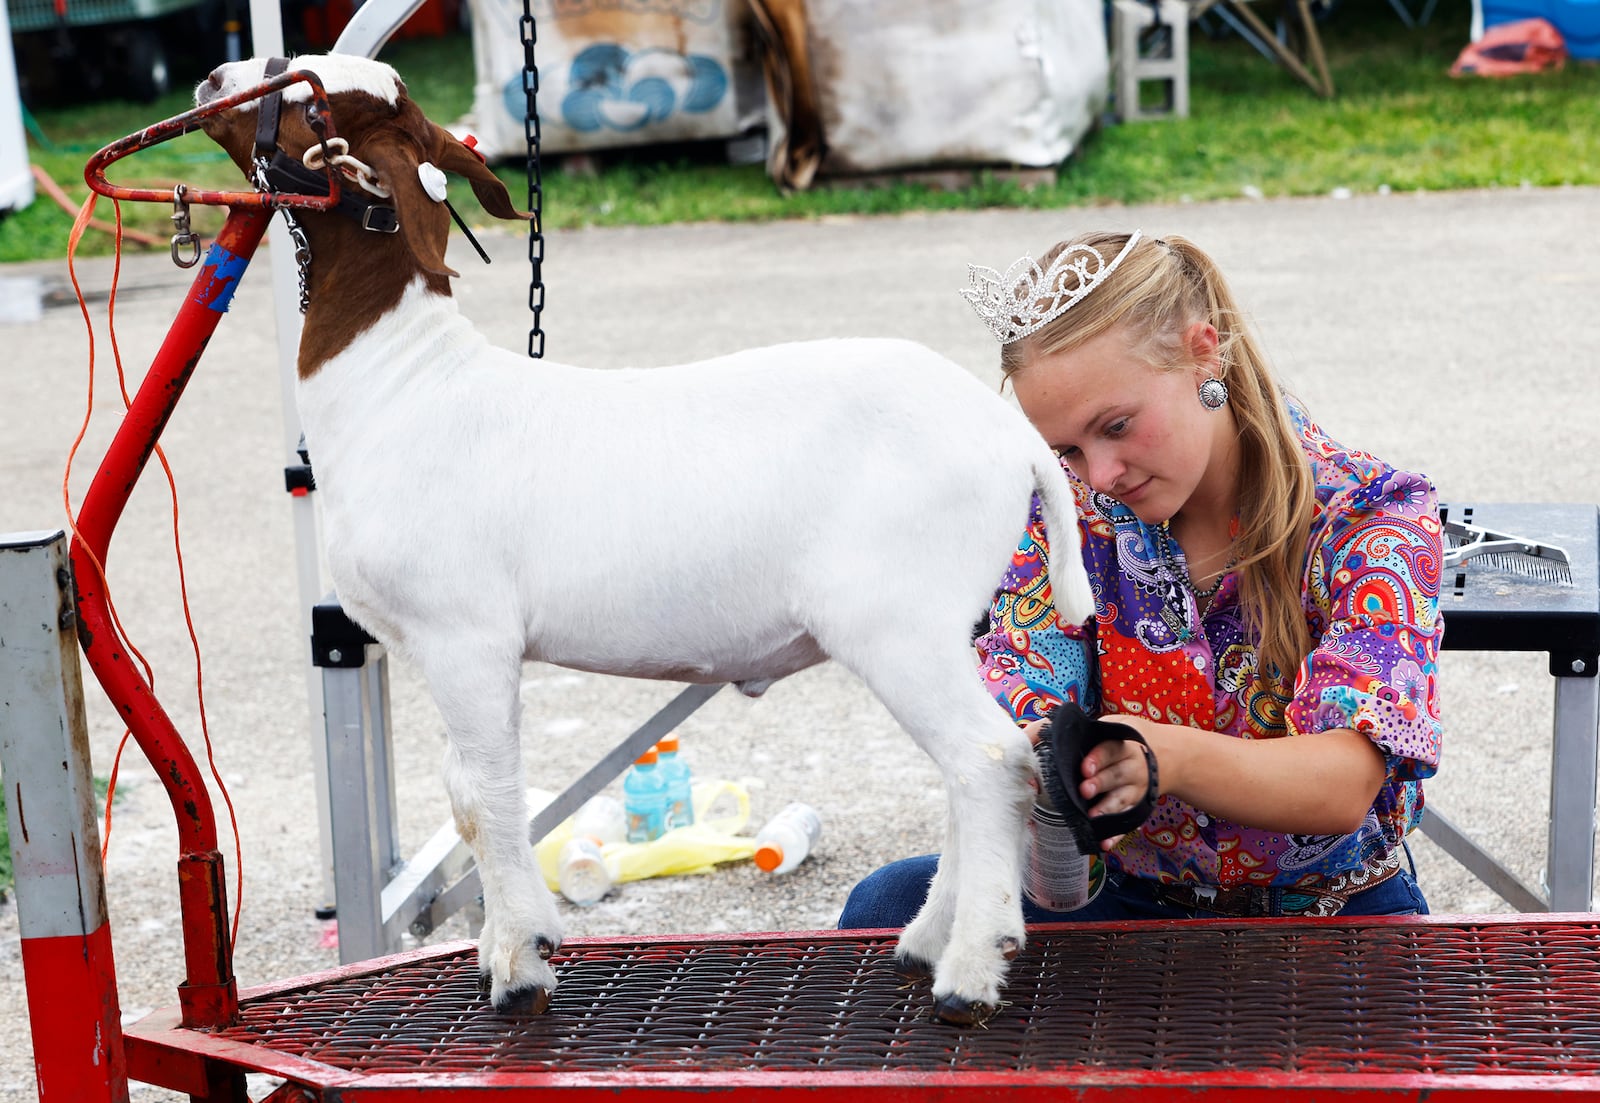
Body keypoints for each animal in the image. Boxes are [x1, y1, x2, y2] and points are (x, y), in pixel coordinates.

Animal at [193, 53, 1100, 1024]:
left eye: (301, 93)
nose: (211, 78)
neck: (404, 379)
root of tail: (1013, 438)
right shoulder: (441, 644)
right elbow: (464, 793)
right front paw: (504, 946)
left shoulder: (465, 635)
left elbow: (490, 794)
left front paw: (520, 961)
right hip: (949, 622)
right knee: (976, 763)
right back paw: (929, 938)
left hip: (899, 619)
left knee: (990, 759)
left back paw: (970, 968)